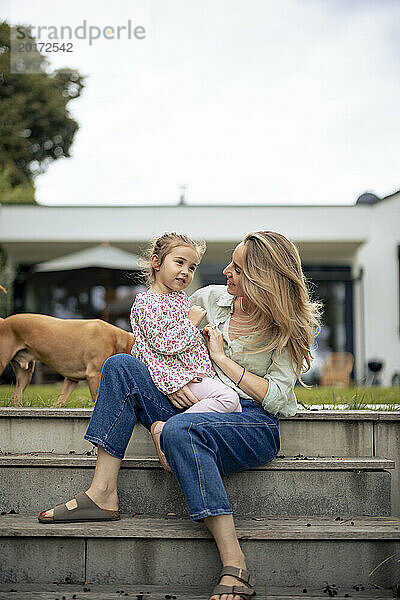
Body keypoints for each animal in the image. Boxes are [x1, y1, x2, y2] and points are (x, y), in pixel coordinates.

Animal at [0, 310, 134, 408]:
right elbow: (97, 398)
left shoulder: (71, 379)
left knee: (16, 396)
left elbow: (60, 401)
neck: (119, 339)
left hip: (24, 375)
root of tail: (4, 321)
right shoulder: (94, 374)